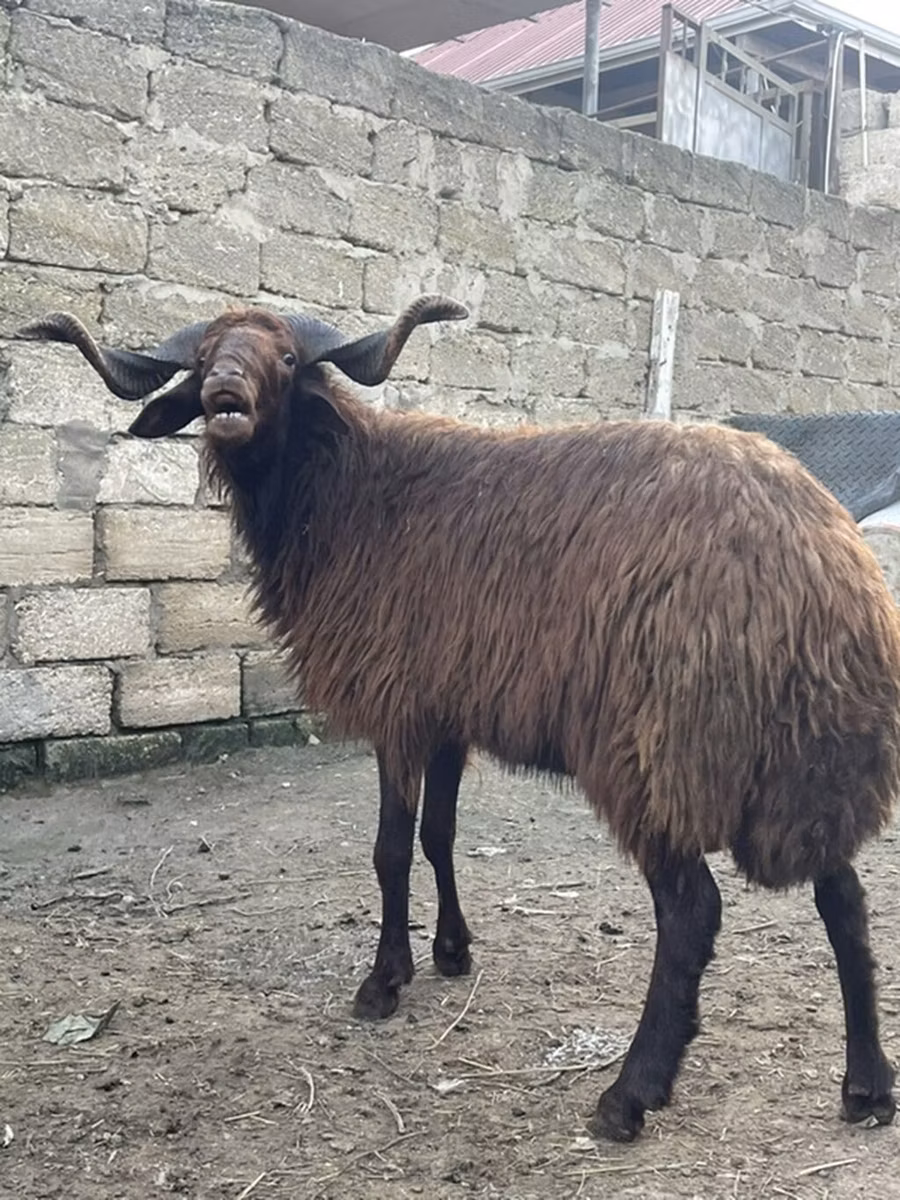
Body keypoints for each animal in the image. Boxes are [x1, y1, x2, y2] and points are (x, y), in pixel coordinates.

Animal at [18, 295, 900, 1143]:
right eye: (201, 358)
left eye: (290, 358)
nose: (225, 397)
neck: (348, 491)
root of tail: (821, 571)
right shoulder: (446, 706)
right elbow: (439, 833)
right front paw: (449, 951)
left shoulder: (397, 703)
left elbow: (389, 849)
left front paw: (383, 981)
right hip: (806, 762)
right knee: (845, 902)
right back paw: (867, 1087)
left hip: (663, 754)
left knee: (692, 912)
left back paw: (630, 1095)